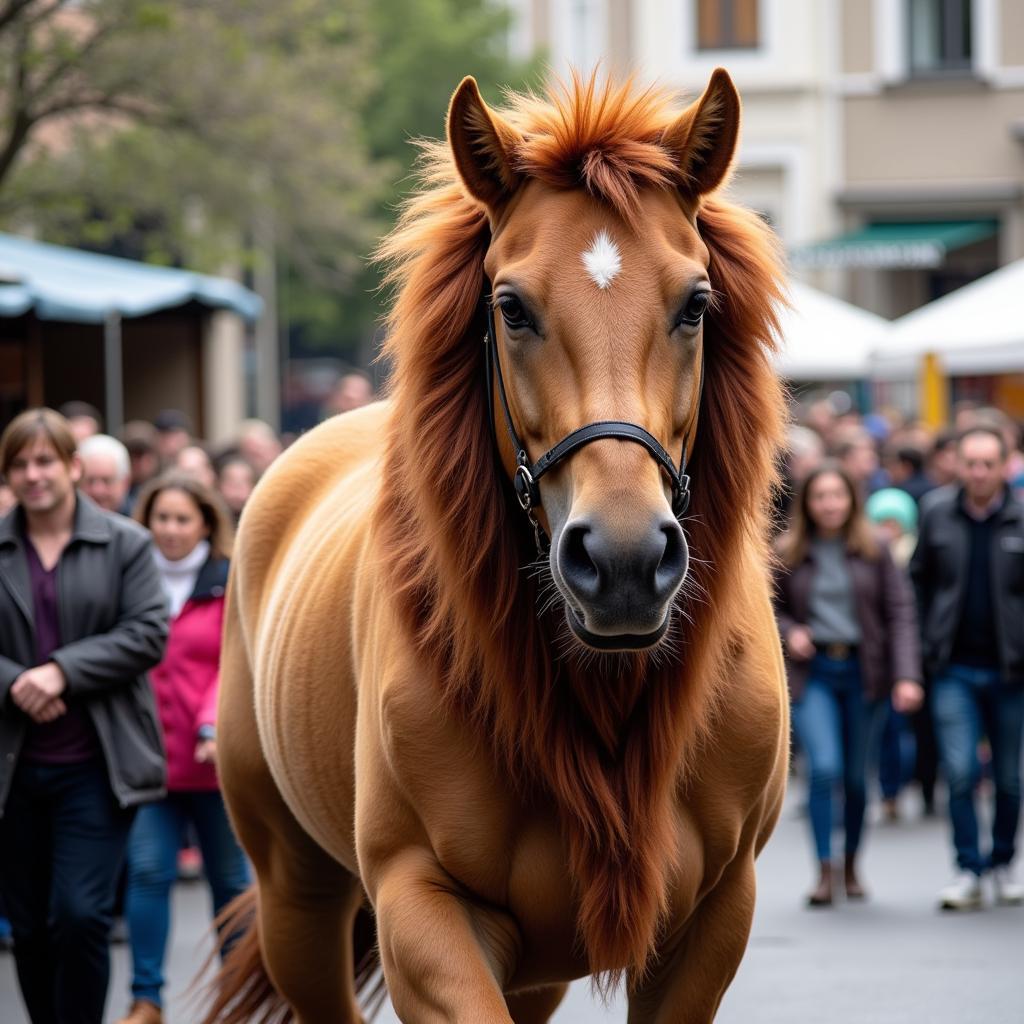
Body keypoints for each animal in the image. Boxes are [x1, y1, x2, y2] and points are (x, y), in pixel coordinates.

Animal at [203, 68, 786, 1019]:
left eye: (696, 305)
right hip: (297, 895)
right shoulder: (422, 907)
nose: (623, 561)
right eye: (511, 308)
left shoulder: (713, 916)